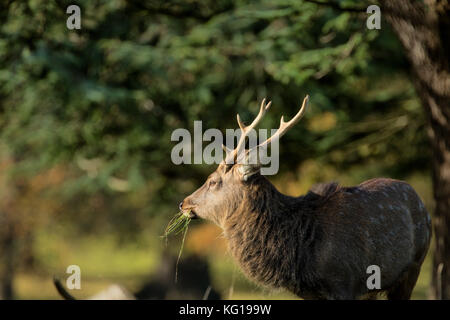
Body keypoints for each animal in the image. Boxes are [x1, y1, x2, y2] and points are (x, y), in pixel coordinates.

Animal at [180, 95, 432, 300]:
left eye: (213, 181)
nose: (184, 203)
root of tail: (419, 198)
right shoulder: (311, 292)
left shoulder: (344, 281)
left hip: (414, 265)